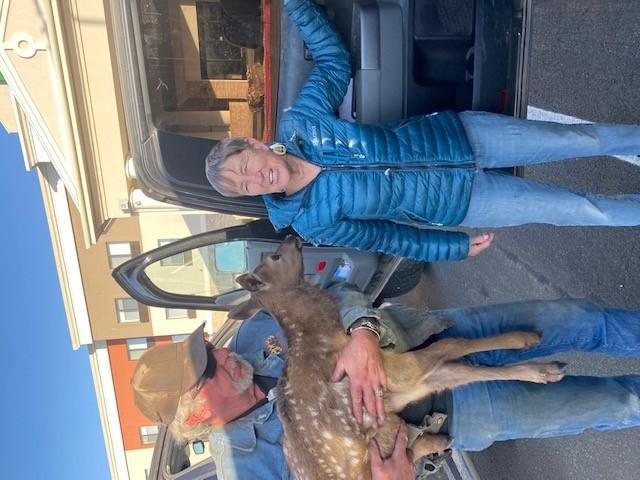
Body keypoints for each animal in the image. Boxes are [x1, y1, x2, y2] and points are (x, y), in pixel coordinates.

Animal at [230, 236, 564, 480]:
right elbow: (454, 343)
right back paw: (438, 440)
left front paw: (545, 370)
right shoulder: (396, 372)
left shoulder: (407, 384)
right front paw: (528, 339)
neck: (323, 333)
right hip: (376, 436)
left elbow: (463, 369)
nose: (290, 236)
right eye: (274, 258)